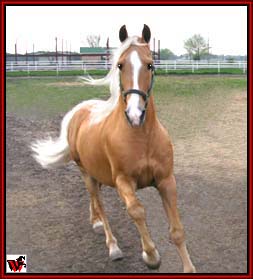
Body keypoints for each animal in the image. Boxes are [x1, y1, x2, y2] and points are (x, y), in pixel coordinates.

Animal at [31, 24, 196, 274]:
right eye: (120, 65)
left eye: (150, 64)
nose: (135, 115)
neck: (141, 138)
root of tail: (80, 112)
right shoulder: (123, 181)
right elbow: (136, 211)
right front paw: (151, 256)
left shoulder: (166, 181)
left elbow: (177, 231)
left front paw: (189, 268)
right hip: (87, 174)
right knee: (99, 203)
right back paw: (112, 245)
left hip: (97, 173)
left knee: (97, 203)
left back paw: (96, 222)